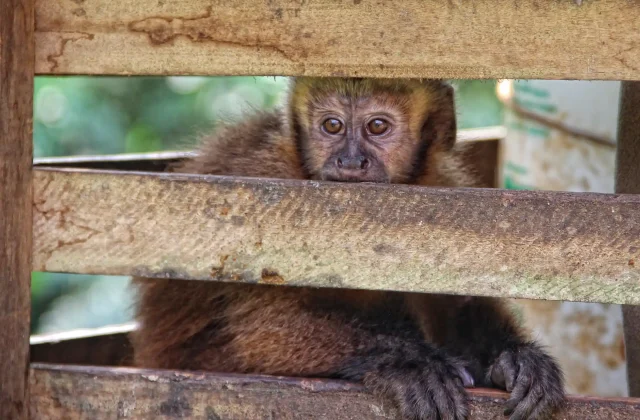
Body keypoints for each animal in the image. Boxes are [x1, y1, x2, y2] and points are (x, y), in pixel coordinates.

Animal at [131, 77, 564, 420]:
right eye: (332, 126)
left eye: (377, 126)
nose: (350, 161)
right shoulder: (267, 187)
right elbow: (259, 329)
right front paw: (407, 362)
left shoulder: (443, 188)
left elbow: (459, 296)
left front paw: (513, 356)